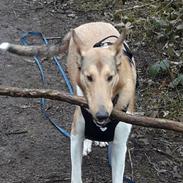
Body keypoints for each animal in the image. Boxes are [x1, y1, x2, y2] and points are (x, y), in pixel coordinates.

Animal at [0, 22, 137, 182]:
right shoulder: (76, 136)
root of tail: (90, 23)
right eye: (88, 77)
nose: (101, 115)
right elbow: (76, 174)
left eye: (110, 77)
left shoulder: (120, 146)